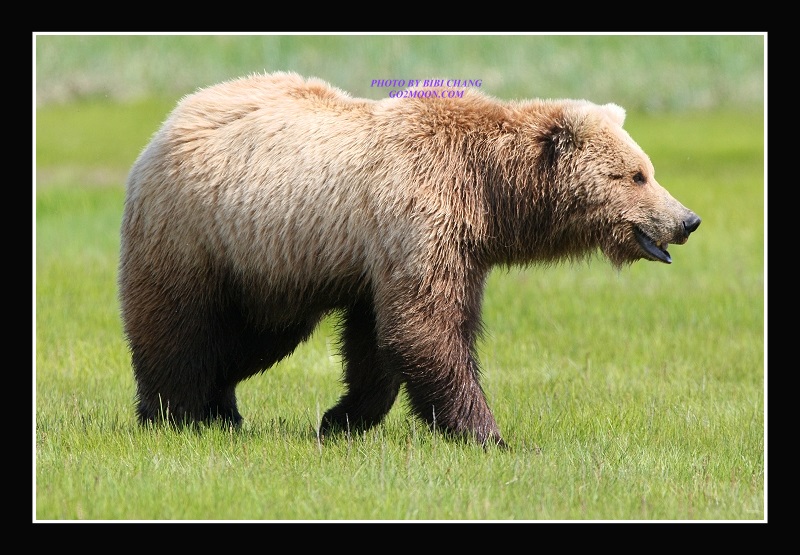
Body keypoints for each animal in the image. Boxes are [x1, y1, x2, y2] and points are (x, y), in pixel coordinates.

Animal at [118, 71, 700, 448]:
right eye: (636, 175)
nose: (687, 220)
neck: (489, 192)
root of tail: (168, 122)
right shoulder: (419, 218)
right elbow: (423, 326)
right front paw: (488, 434)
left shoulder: (421, 253)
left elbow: (379, 343)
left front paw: (339, 420)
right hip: (197, 234)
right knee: (180, 325)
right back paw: (173, 413)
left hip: (271, 267)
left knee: (252, 338)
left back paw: (222, 408)